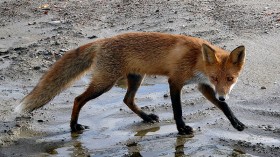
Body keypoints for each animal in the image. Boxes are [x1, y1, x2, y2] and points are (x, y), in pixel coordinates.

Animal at [15, 32, 246, 135]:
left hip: (135, 78)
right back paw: (73, 126)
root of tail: (101, 42)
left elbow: (225, 108)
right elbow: (178, 110)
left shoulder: (201, 85)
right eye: (215, 78)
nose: (222, 94)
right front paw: (181, 128)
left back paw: (146, 117)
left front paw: (236, 123)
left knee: (127, 100)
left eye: (230, 79)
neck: (196, 59)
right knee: (78, 99)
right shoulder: (175, 81)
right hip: (104, 83)